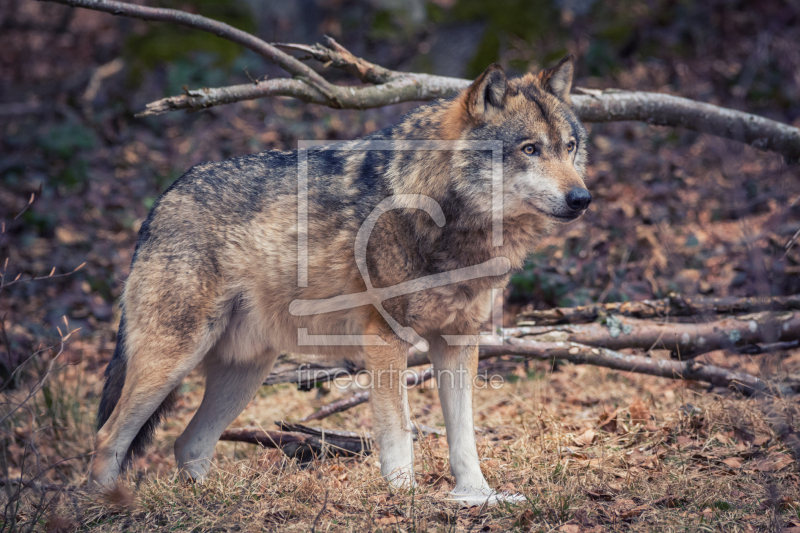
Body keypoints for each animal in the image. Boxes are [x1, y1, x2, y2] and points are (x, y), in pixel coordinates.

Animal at [90, 56, 592, 504]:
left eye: (569, 146)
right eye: (530, 149)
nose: (582, 198)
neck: (443, 213)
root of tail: (160, 203)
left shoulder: (458, 340)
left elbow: (464, 437)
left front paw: (479, 496)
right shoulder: (385, 338)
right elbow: (398, 431)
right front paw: (406, 497)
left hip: (245, 371)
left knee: (187, 443)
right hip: (172, 360)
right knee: (108, 438)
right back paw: (107, 505)